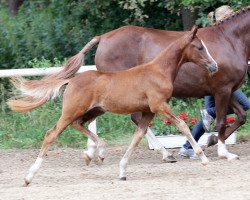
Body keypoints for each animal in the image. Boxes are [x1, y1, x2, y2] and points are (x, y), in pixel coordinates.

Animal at [8, 25, 217, 185]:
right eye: (199, 47)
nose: (214, 66)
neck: (159, 71)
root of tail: (71, 81)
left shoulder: (148, 111)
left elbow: (138, 136)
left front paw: (122, 171)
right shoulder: (159, 106)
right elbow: (182, 125)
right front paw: (204, 159)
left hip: (94, 110)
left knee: (79, 124)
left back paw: (97, 152)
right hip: (71, 111)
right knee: (51, 134)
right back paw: (29, 177)